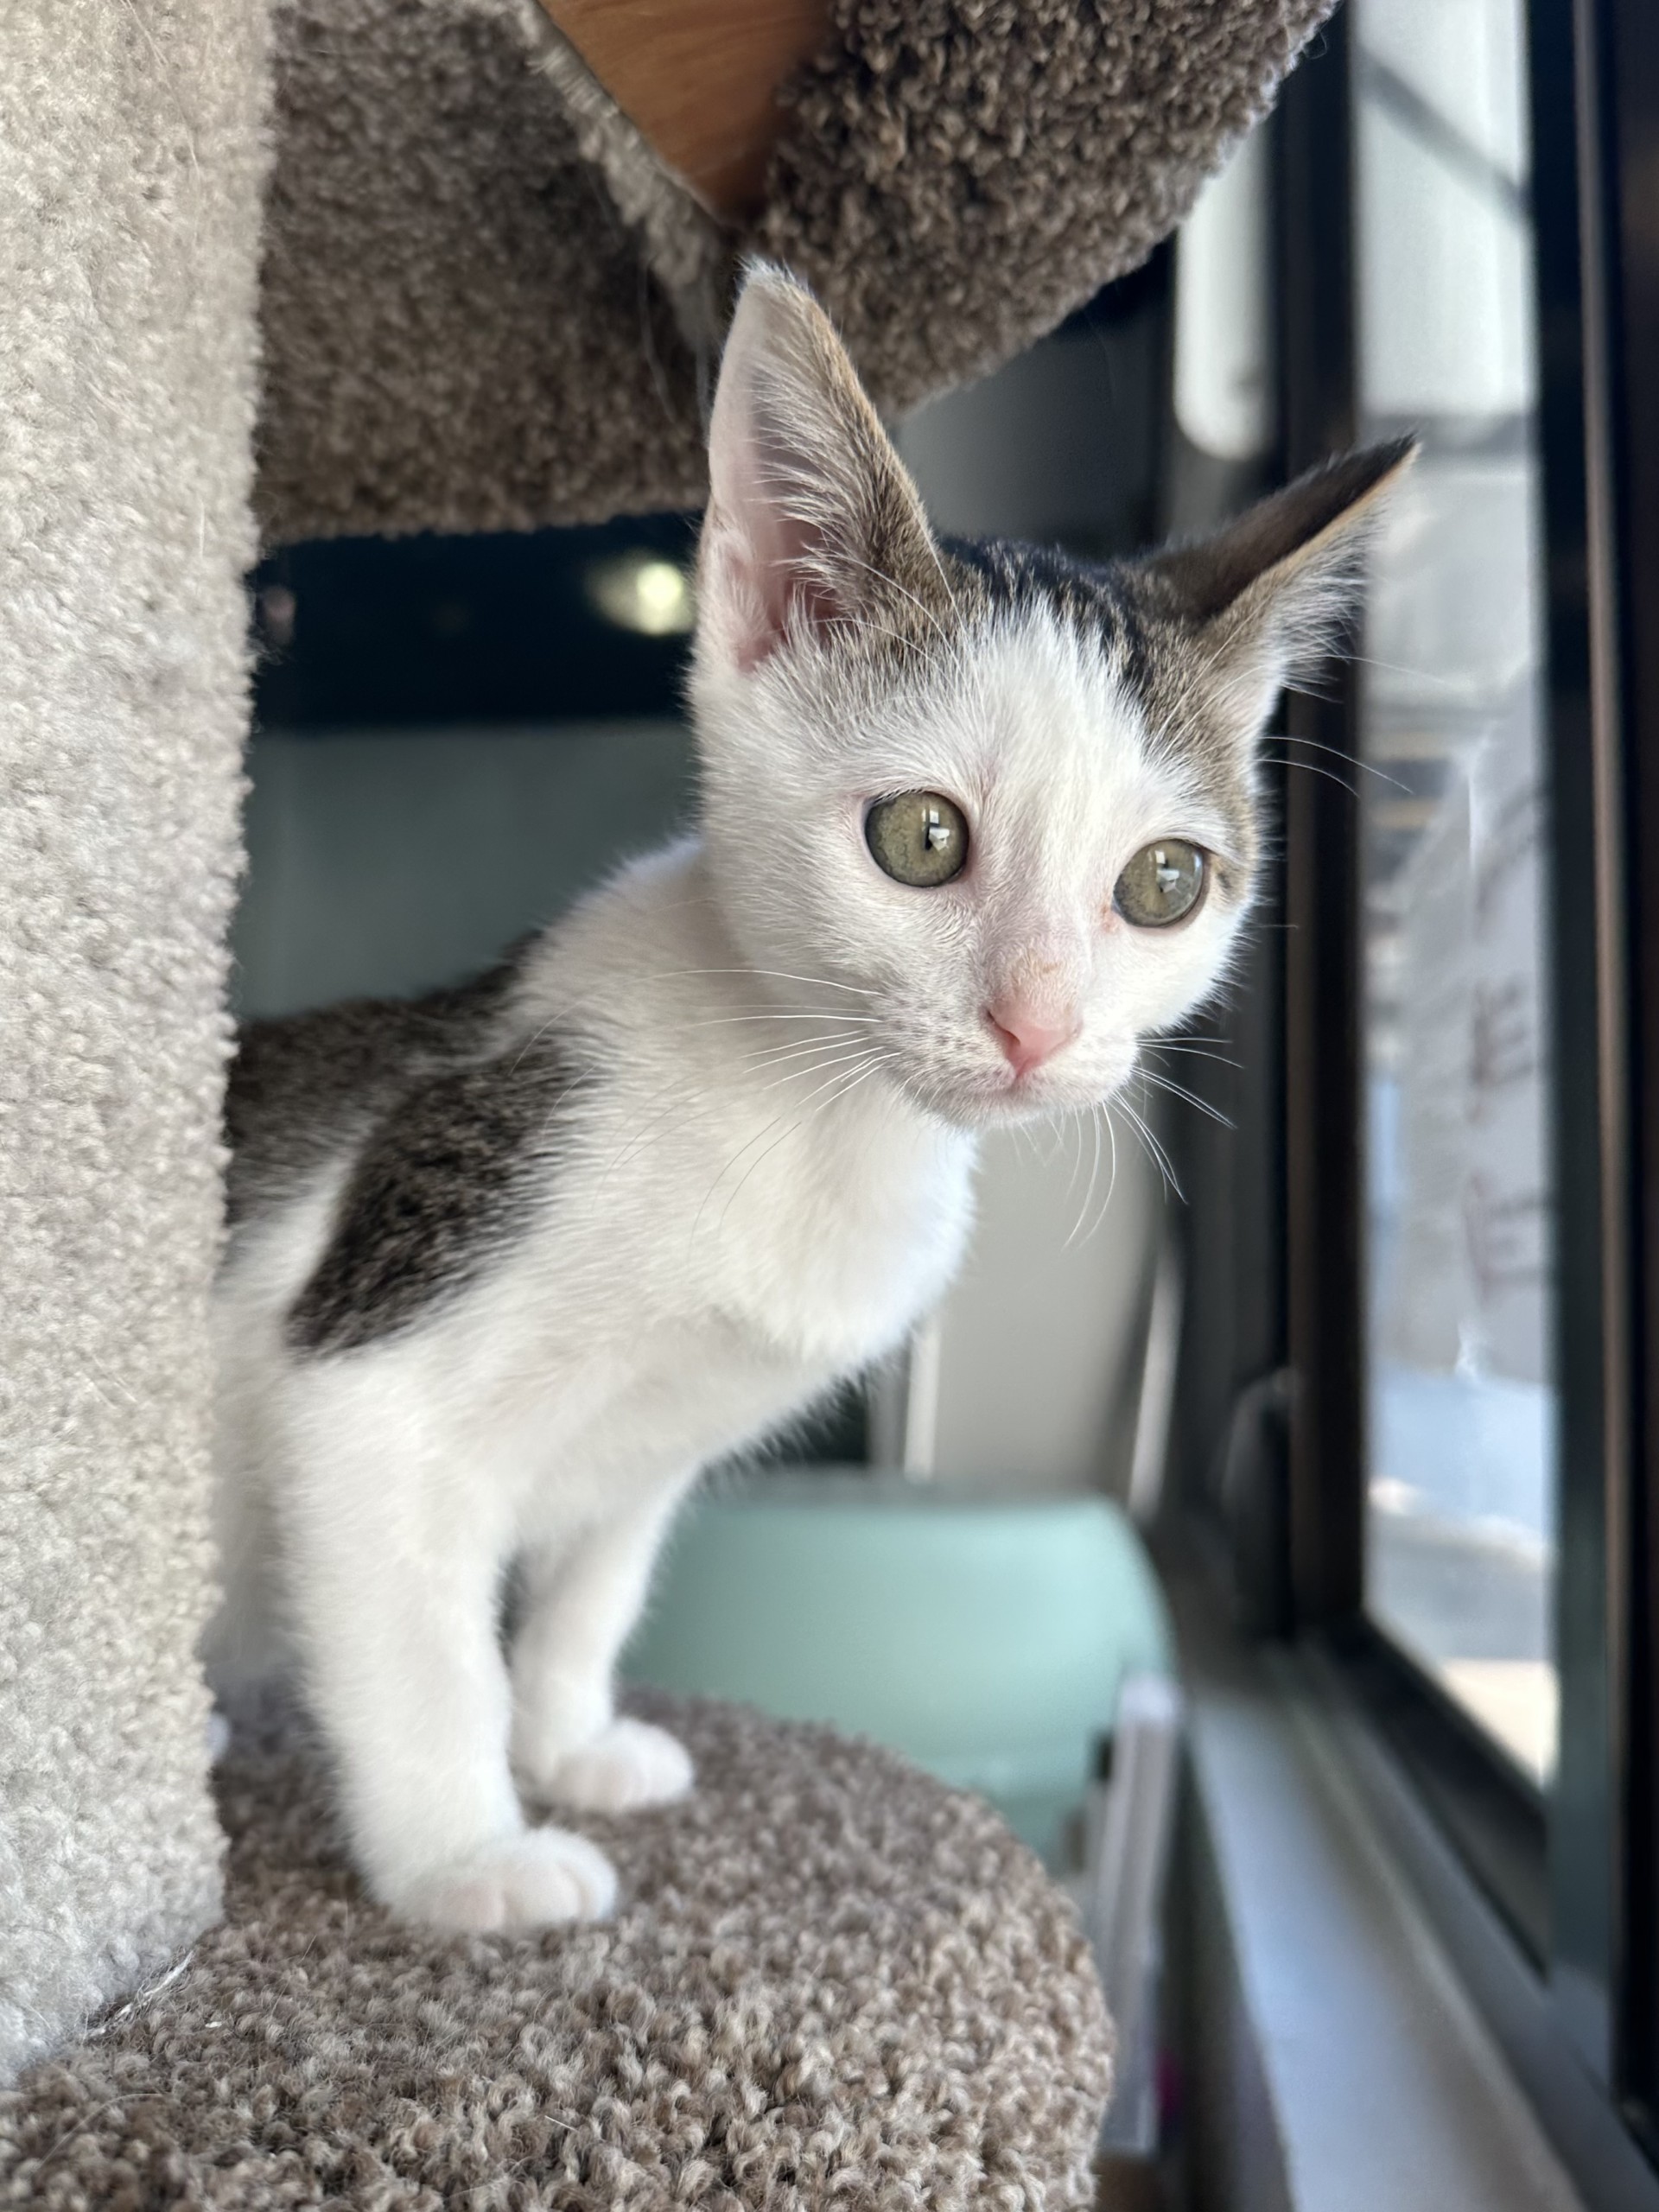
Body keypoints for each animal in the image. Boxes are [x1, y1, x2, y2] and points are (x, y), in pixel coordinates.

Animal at [206, 262, 1411, 1933]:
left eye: (1165, 885)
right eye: (920, 839)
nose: (1037, 1022)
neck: (811, 1115)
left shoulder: (658, 1439)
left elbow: (595, 1587)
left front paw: (569, 1740)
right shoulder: (373, 1364)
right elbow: (420, 1644)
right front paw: (467, 1858)